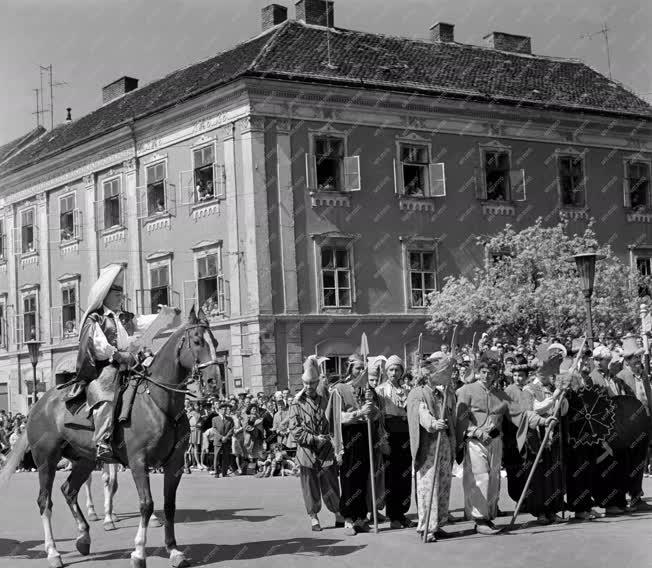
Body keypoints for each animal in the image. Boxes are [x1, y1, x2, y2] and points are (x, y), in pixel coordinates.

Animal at [0, 306, 220, 568]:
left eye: (215, 342)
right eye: (197, 341)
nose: (214, 382)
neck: (158, 402)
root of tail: (39, 404)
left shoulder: (174, 464)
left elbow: (169, 505)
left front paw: (174, 551)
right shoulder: (138, 461)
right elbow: (146, 504)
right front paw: (138, 552)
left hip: (84, 459)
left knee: (69, 490)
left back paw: (83, 538)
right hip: (46, 460)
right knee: (45, 501)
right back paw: (53, 552)